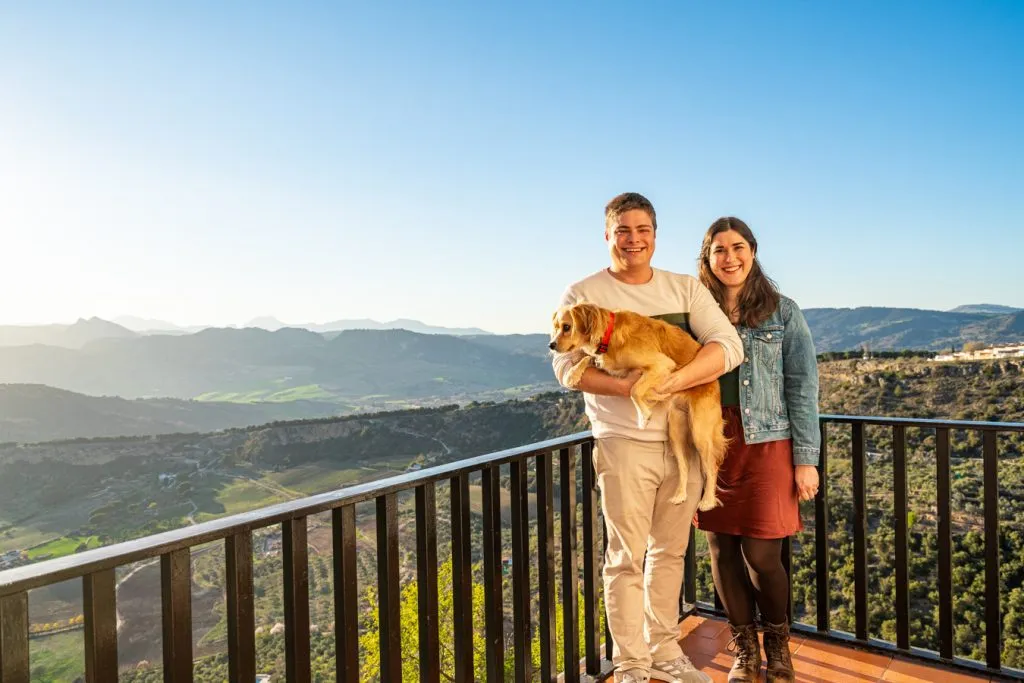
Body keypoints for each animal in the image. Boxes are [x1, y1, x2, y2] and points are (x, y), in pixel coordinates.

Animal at [552, 301, 729, 509]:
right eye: (556, 327)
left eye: (566, 327)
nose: (551, 345)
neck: (609, 335)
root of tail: (715, 382)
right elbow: (588, 359)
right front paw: (572, 374)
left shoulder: (662, 364)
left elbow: (634, 390)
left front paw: (644, 416)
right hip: (675, 431)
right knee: (684, 466)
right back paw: (680, 494)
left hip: (700, 431)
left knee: (712, 466)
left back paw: (708, 500)